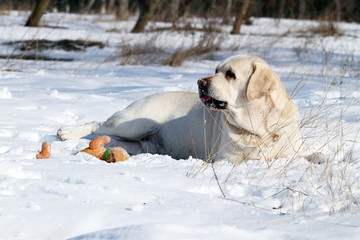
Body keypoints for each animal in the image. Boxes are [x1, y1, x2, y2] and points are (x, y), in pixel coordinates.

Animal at [58, 55, 300, 162]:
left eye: (231, 74)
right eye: (216, 70)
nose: (200, 82)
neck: (260, 130)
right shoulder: (225, 159)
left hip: (145, 144)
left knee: (119, 143)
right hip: (134, 122)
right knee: (97, 124)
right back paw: (66, 132)